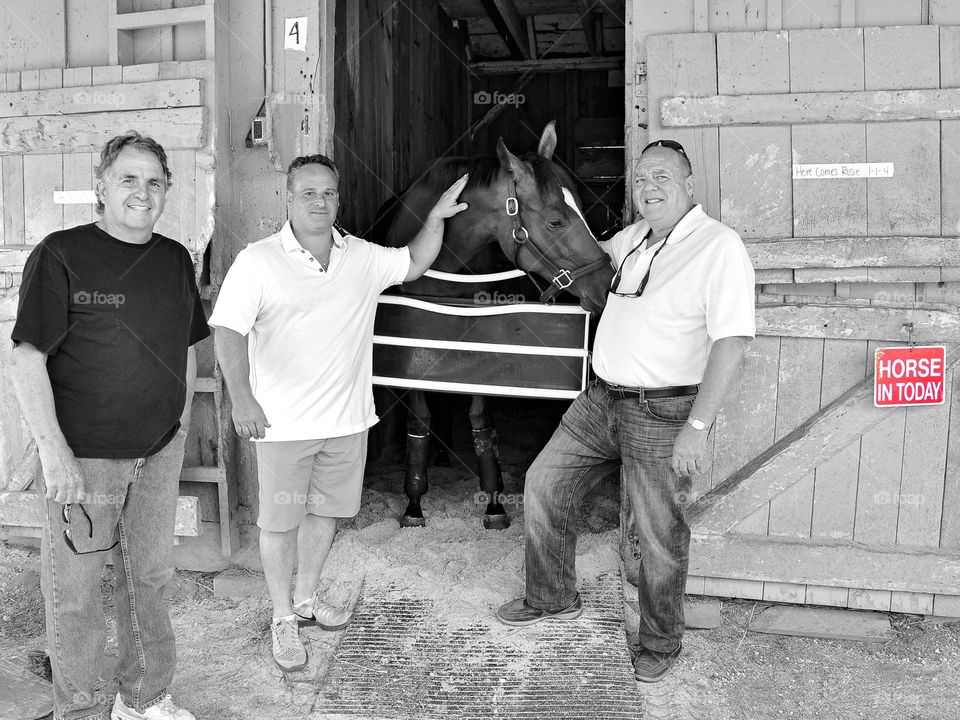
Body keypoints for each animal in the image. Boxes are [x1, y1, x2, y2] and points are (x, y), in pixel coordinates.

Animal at [372, 122, 612, 528]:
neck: (445, 258)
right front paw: (414, 502)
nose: (606, 283)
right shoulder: (413, 349)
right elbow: (419, 423)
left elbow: (480, 421)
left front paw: (495, 501)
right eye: (555, 220)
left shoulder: (480, 348)